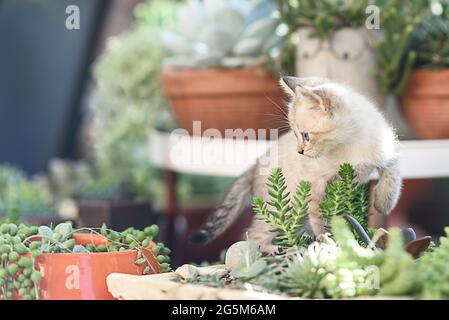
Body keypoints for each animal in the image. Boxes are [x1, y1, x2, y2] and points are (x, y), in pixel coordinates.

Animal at [191, 75, 400, 252]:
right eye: (296, 134)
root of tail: (255, 164)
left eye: (306, 135)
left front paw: (384, 202)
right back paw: (277, 249)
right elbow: (319, 214)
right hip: (284, 209)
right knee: (252, 236)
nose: (300, 151)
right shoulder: (317, 183)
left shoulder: (386, 149)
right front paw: (326, 236)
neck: (349, 144)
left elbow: (393, 173)